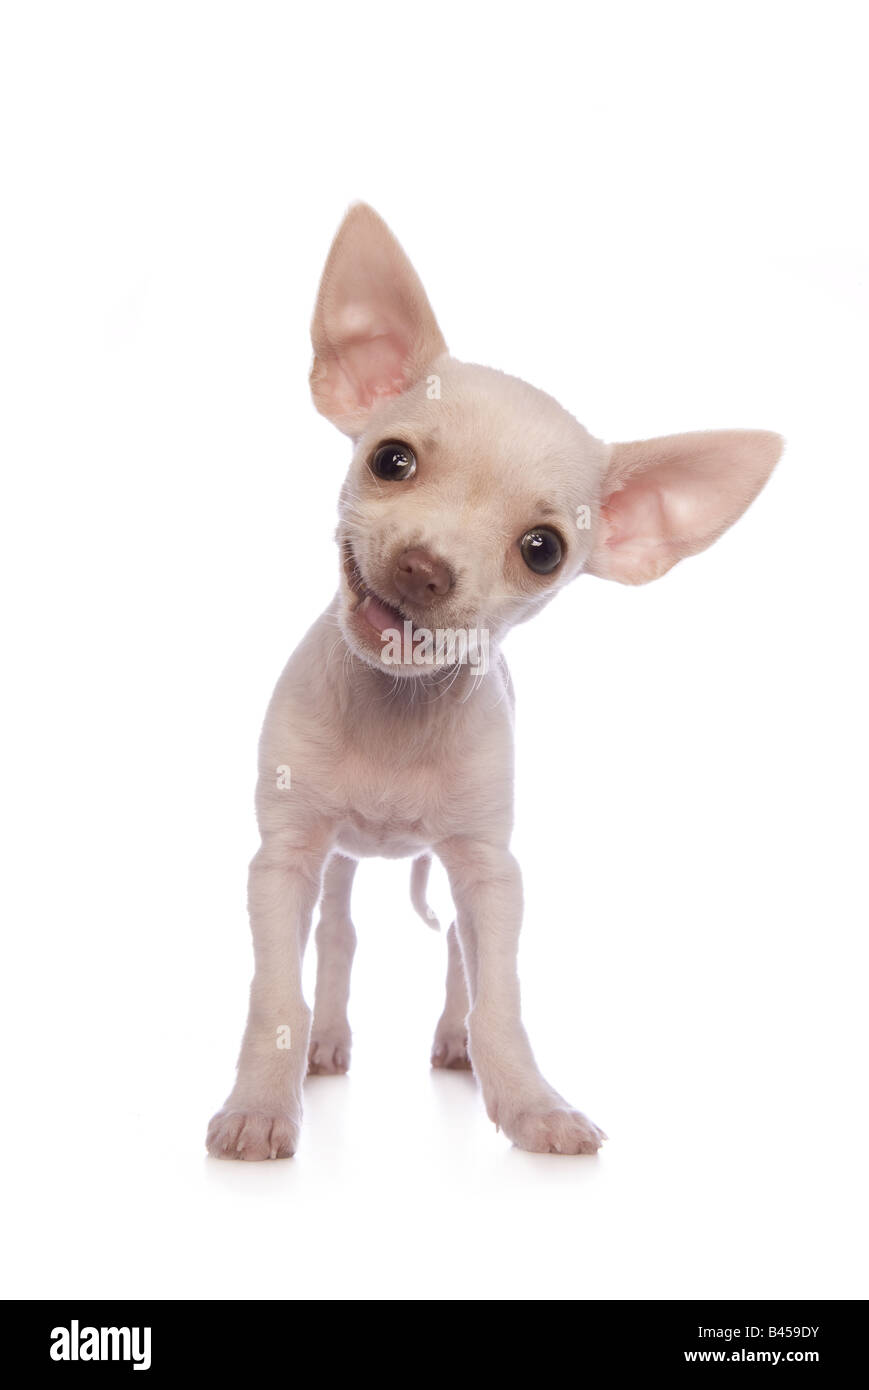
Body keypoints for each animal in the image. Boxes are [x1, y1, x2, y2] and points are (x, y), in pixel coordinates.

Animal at [204, 202, 778, 1162]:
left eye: (541, 550)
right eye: (391, 461)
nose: (425, 568)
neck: (395, 713)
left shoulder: (488, 872)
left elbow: (498, 994)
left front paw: (531, 1103)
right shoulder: (280, 861)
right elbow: (274, 996)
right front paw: (258, 1104)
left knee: (452, 958)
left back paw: (451, 1042)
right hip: (335, 860)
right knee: (338, 935)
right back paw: (327, 1041)